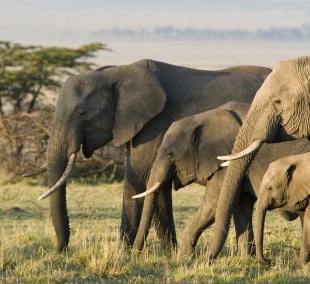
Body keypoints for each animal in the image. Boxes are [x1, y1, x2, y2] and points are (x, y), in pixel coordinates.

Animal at [35, 58, 272, 252]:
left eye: (82, 113)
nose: (62, 250)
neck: (114, 73)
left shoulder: (154, 124)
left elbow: (140, 178)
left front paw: (123, 254)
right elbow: (156, 185)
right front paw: (169, 253)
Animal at [131, 101, 308, 256]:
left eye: (170, 155)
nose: (135, 254)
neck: (202, 117)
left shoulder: (227, 161)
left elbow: (213, 204)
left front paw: (184, 257)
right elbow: (240, 206)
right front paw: (246, 259)